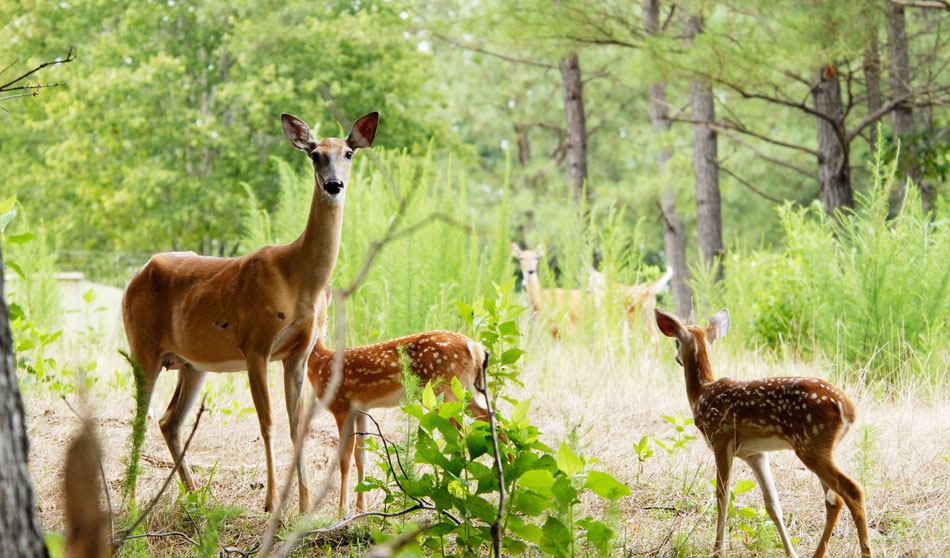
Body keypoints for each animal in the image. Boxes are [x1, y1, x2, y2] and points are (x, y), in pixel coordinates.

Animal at [122, 111, 380, 516]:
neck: (298, 278)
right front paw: (272, 501)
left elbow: (297, 426)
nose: (334, 185)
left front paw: (304, 503)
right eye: (315, 155)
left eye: (349, 153)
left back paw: (194, 497)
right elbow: (268, 422)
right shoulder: (256, 343)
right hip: (142, 347)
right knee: (139, 420)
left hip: (193, 364)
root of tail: (133, 279)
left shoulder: (298, 353)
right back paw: (130, 502)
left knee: (168, 421)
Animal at [310, 290, 490, 516]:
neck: (321, 363)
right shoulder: (361, 409)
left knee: (460, 436)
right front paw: (362, 507)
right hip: (469, 391)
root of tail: (475, 347)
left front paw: (343, 510)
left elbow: (344, 458)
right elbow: (361, 457)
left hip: (445, 390)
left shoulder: (341, 406)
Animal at [660, 310, 872, 558]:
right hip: (820, 447)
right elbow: (772, 504)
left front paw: (718, 551)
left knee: (851, 491)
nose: (676, 358)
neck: (702, 392)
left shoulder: (721, 439)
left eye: (676, 341)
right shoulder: (754, 453)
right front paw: (791, 553)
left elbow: (722, 497)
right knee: (834, 500)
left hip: (810, 444)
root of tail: (848, 408)